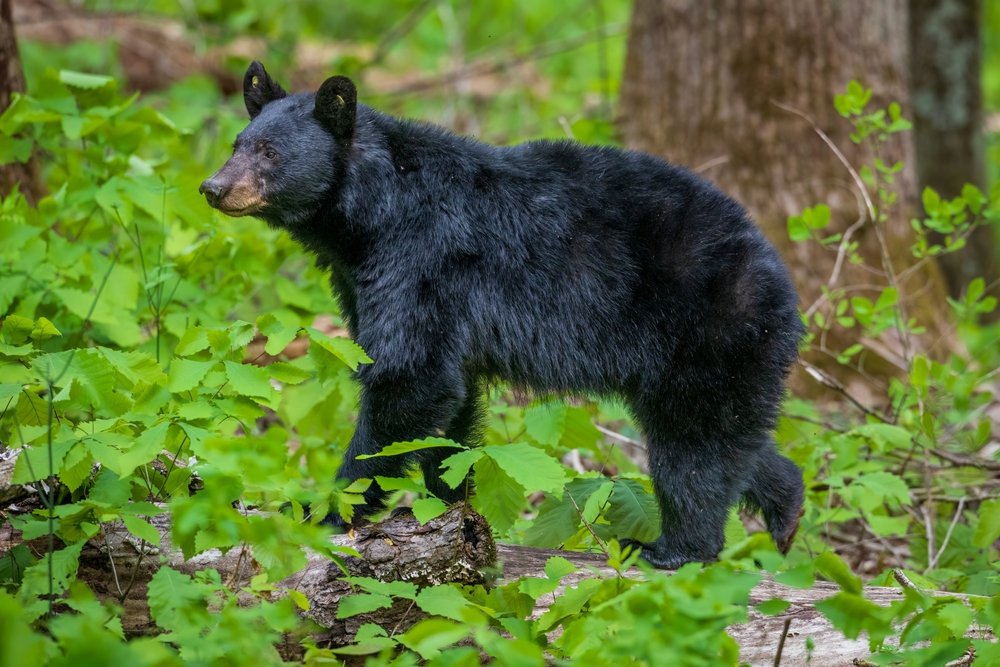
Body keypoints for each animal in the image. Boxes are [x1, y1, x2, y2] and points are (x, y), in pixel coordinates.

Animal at [199, 61, 806, 569]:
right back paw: (788, 511)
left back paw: (672, 548)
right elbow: (449, 402)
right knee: (735, 439)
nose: (213, 187)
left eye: (270, 152)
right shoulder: (366, 281)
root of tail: (778, 271)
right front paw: (448, 505)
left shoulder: (420, 261)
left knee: (693, 449)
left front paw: (323, 509)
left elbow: (408, 378)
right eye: (236, 143)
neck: (373, 212)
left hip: (709, 327)